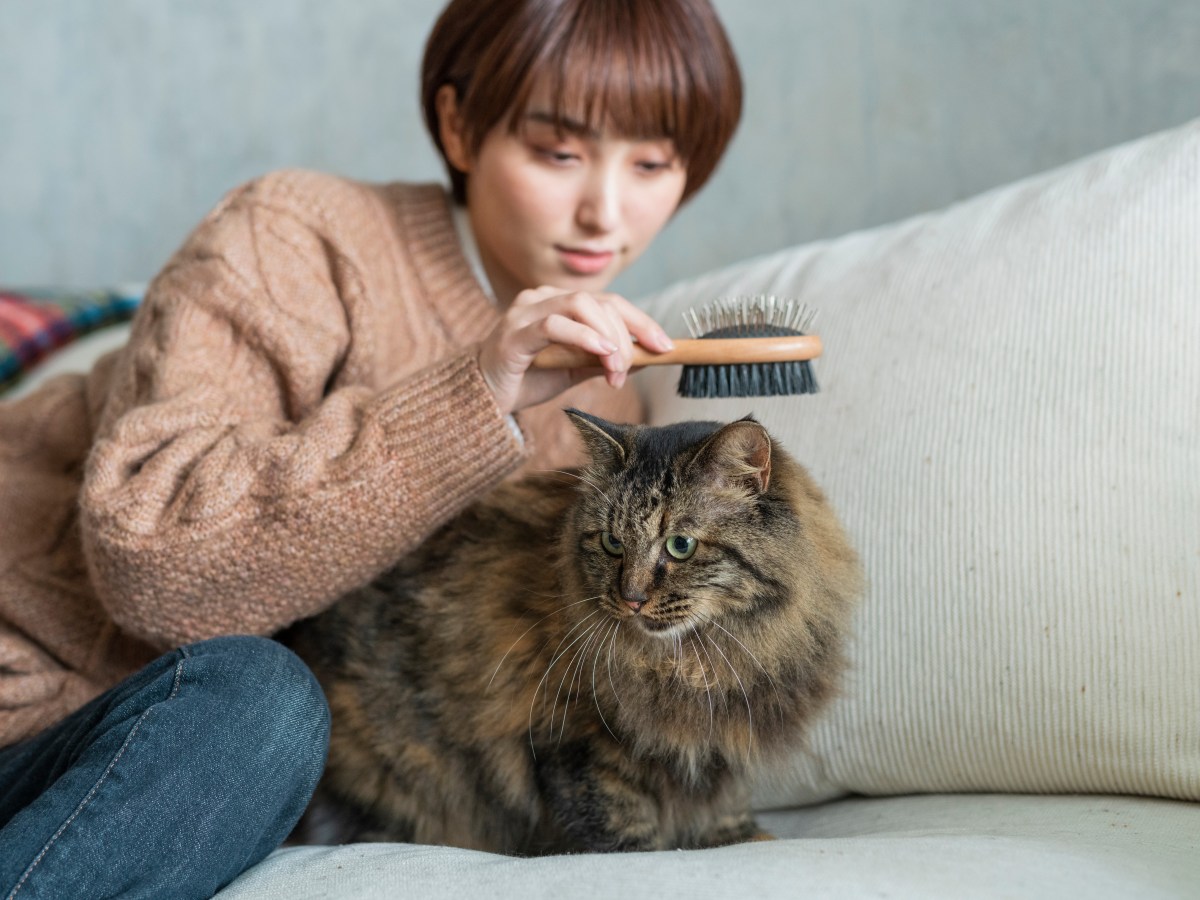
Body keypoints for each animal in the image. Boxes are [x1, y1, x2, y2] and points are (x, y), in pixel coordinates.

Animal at [283, 412, 864, 854]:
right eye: (611, 542)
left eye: (680, 545)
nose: (631, 598)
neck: (695, 664)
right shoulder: (575, 740)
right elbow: (620, 824)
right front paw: (650, 856)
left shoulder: (726, 728)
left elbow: (723, 801)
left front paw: (740, 838)